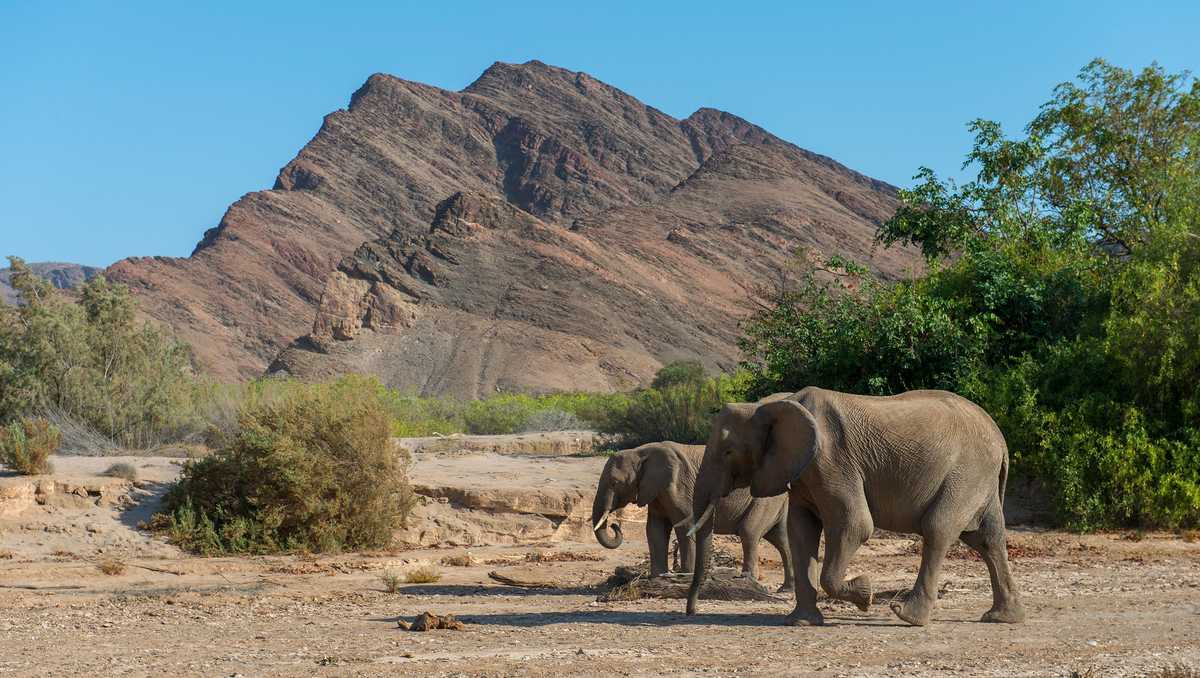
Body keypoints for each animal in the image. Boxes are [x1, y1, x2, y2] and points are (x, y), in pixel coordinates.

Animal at [590, 439, 796, 588]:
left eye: (615, 482)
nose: (615, 525)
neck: (640, 452)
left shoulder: (679, 486)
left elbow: (685, 526)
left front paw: (684, 575)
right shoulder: (655, 491)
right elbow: (655, 529)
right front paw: (658, 578)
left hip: (764, 498)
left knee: (749, 532)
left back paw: (747, 580)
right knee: (782, 539)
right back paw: (786, 589)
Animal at [691, 388, 1027, 628]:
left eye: (728, 451)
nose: (691, 611)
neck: (774, 404)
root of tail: (1000, 438)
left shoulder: (832, 462)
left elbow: (854, 525)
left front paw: (865, 594)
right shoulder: (802, 472)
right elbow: (801, 532)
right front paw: (800, 622)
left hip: (966, 473)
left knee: (938, 528)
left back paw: (906, 614)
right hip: (978, 479)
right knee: (987, 538)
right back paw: (1001, 618)